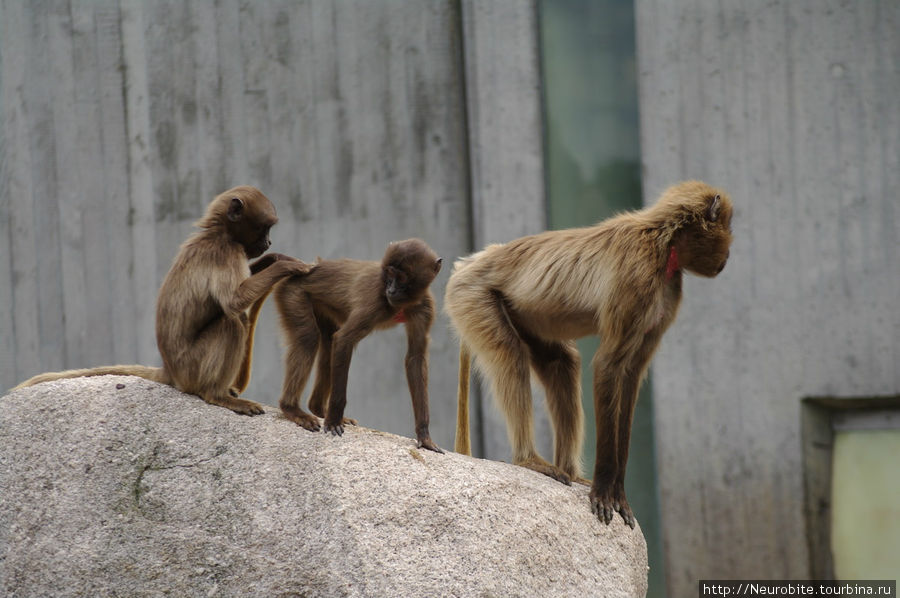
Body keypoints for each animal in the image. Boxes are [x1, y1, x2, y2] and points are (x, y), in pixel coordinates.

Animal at [9, 185, 312, 414]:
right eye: (265, 228)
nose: (268, 244)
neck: (218, 233)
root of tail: (170, 371)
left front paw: (275, 260)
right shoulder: (225, 252)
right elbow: (233, 301)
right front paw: (285, 266)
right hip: (192, 367)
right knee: (232, 322)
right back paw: (216, 394)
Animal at [272, 239, 444, 454]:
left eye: (401, 277)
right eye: (390, 275)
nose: (391, 290)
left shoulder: (425, 306)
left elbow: (415, 358)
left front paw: (424, 434)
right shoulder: (376, 300)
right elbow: (344, 340)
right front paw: (333, 420)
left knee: (327, 343)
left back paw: (317, 408)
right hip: (294, 292)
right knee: (309, 337)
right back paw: (292, 408)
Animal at [446, 180, 736, 528]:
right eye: (727, 226)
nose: (729, 253)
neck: (663, 241)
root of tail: (471, 262)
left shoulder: (666, 292)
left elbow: (631, 375)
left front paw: (619, 496)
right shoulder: (637, 278)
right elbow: (608, 366)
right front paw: (603, 493)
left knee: (561, 364)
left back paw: (570, 472)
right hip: (472, 295)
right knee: (509, 355)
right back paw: (529, 459)